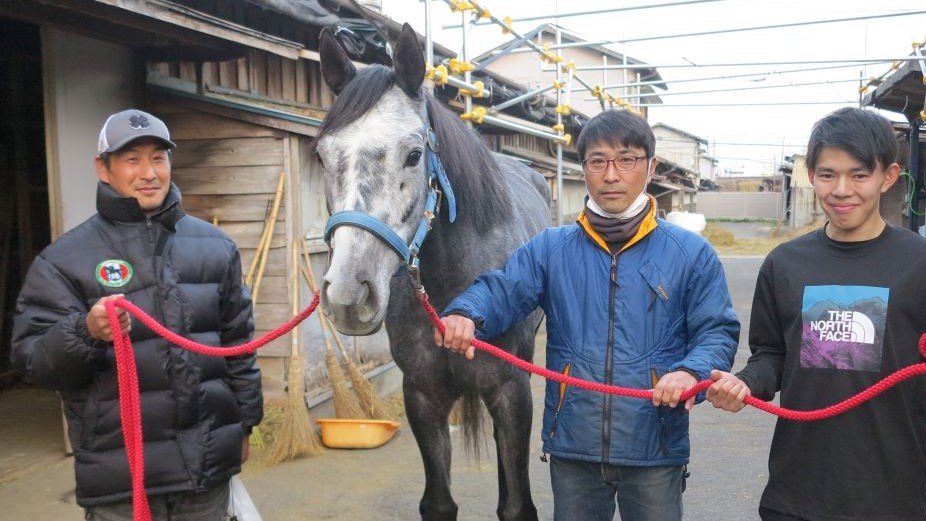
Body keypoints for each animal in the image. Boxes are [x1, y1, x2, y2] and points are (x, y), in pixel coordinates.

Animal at [318, 24, 552, 520]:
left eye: (413, 154)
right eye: (322, 158)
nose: (349, 294)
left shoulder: (511, 391)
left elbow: (516, 505)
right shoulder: (422, 397)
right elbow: (439, 503)